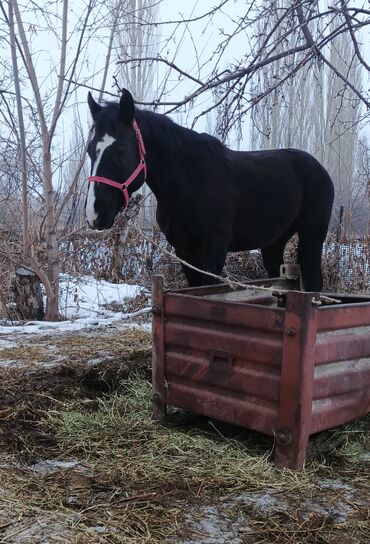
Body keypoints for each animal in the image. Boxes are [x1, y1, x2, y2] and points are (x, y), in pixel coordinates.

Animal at [85, 90, 334, 294]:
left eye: (120, 149)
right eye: (89, 150)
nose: (94, 212)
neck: (190, 183)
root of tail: (320, 169)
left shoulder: (214, 250)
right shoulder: (184, 251)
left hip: (312, 237)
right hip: (274, 241)